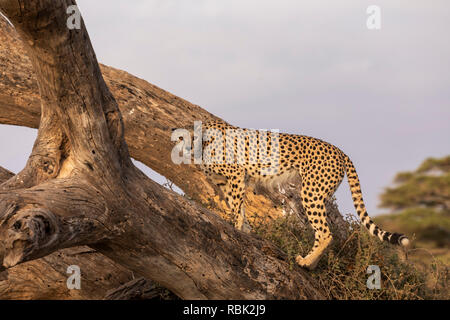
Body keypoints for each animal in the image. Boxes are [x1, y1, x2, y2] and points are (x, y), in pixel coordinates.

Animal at [171, 120, 408, 270]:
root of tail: (340, 151)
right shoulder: (227, 182)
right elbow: (237, 207)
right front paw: (246, 230)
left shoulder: (237, 175)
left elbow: (237, 208)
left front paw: (236, 229)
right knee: (321, 231)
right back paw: (309, 263)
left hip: (311, 193)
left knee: (325, 233)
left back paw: (306, 262)